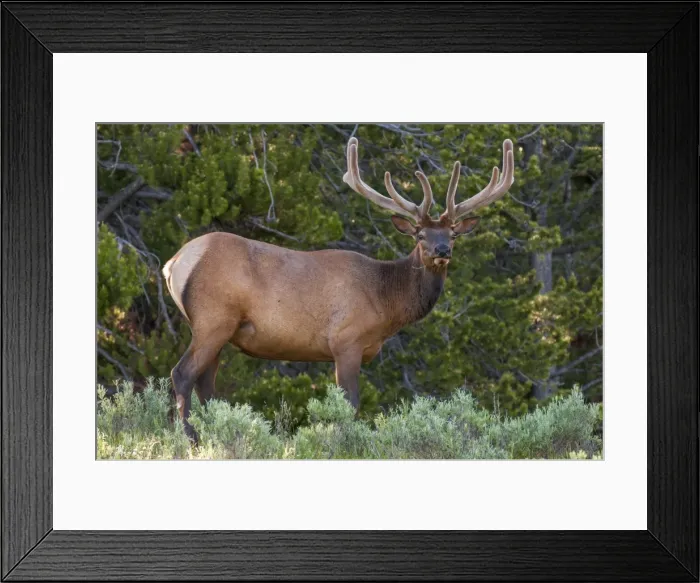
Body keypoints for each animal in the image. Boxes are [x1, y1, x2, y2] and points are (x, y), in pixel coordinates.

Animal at [163, 136, 515, 442]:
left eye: (453, 234)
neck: (385, 301)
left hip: (217, 328)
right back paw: (190, 438)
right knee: (183, 374)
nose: (442, 250)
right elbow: (350, 405)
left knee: (206, 383)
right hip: (213, 318)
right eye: (419, 235)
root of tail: (175, 261)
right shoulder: (347, 339)